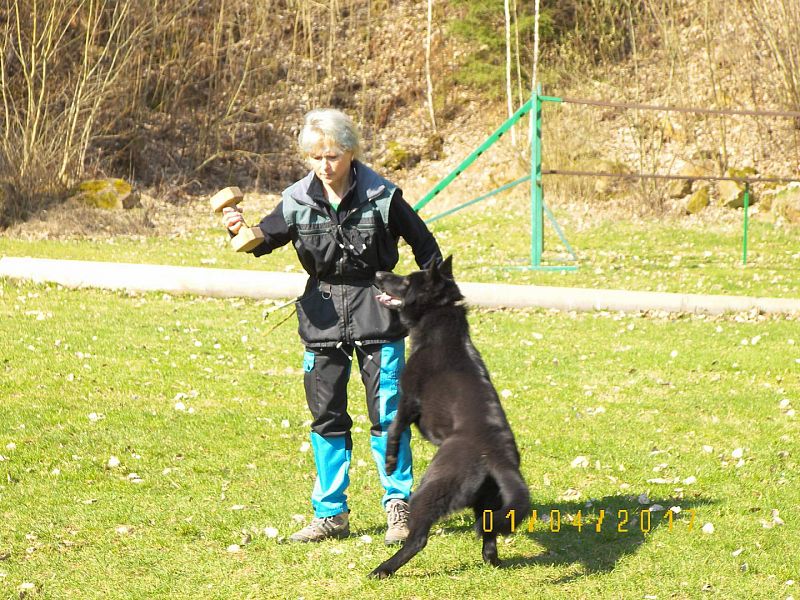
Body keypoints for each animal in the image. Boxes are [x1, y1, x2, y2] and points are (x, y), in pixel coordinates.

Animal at [370, 256, 532, 576]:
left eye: (405, 280)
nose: (378, 273)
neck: (439, 321)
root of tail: (499, 458)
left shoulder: (408, 400)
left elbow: (394, 429)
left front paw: (391, 461)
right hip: (487, 503)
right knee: (489, 536)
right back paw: (493, 562)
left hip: (429, 490)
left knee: (418, 540)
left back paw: (383, 568)